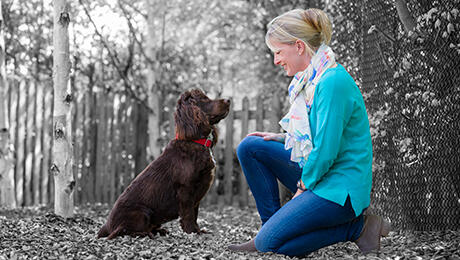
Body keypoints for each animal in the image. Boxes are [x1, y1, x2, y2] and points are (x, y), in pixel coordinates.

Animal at [99, 88, 232, 239]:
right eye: (204, 99)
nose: (228, 100)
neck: (196, 142)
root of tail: (106, 226)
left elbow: (195, 213)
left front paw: (198, 230)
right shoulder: (185, 188)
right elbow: (188, 213)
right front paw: (192, 231)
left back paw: (159, 231)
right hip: (141, 212)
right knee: (120, 232)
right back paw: (145, 233)